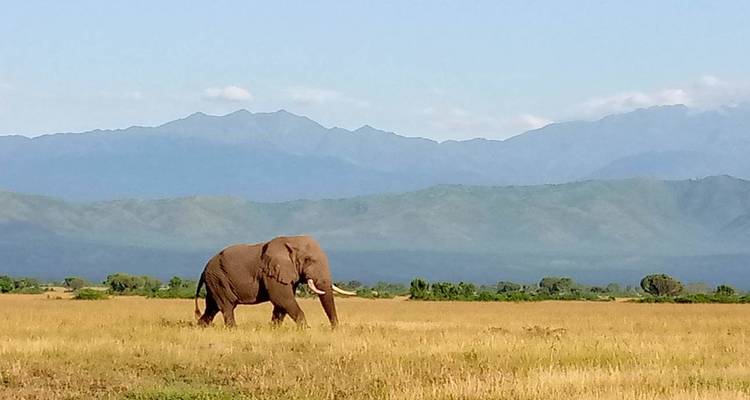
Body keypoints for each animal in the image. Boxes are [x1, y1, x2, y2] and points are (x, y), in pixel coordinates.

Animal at [193, 235, 356, 328]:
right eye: (308, 260)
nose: (334, 329)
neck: (291, 240)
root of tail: (204, 269)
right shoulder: (271, 272)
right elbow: (282, 299)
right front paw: (305, 330)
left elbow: (281, 304)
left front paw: (274, 330)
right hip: (219, 279)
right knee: (227, 306)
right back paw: (233, 330)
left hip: (215, 282)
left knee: (212, 307)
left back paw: (200, 327)